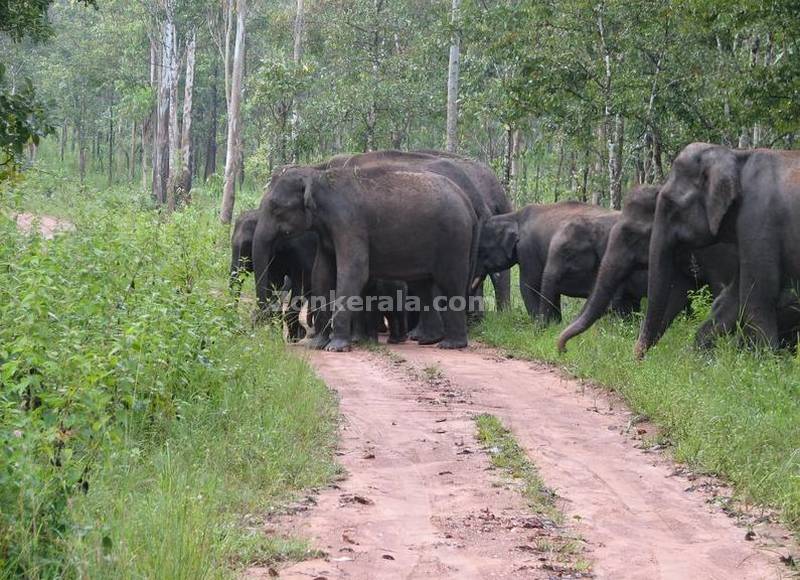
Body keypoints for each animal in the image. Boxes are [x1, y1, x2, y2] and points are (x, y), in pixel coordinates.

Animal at [252, 164, 476, 354]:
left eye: (276, 207)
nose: (263, 322)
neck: (318, 176)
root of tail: (466, 200)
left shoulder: (349, 222)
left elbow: (353, 271)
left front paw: (336, 347)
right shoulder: (326, 233)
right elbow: (321, 274)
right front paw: (317, 345)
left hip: (454, 238)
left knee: (450, 282)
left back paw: (450, 345)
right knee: (423, 286)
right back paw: (429, 340)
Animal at [472, 202, 636, 324]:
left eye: (480, 250)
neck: (514, 217)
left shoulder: (528, 249)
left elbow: (529, 285)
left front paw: (539, 323)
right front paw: (555, 324)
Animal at [636, 143, 800, 356]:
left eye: (671, 205)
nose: (638, 358)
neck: (737, 156)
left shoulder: (759, 221)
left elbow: (758, 291)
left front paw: (762, 357)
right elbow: (732, 297)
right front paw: (697, 357)